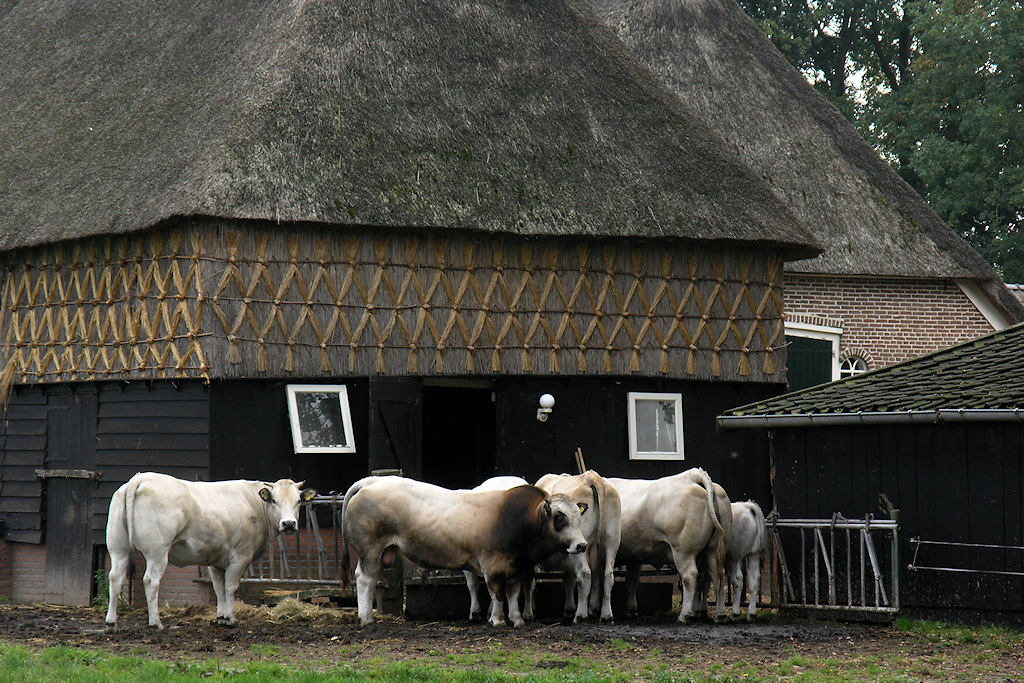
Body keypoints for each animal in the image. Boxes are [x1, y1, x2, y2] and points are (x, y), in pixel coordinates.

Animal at [104, 472, 316, 631]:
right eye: (274, 500)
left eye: (298, 501)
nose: (288, 524)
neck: (253, 504)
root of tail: (141, 478)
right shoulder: (240, 556)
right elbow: (230, 587)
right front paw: (230, 619)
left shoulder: (216, 560)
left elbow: (218, 588)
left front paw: (221, 617)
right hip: (158, 551)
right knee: (151, 581)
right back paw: (155, 623)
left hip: (118, 547)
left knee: (116, 578)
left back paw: (111, 622)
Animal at [340, 475, 588, 628]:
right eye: (560, 517)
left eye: (579, 517)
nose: (581, 545)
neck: (517, 519)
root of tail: (373, 481)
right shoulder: (493, 566)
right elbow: (497, 594)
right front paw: (497, 620)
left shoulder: (516, 568)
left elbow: (513, 594)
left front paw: (517, 620)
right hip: (370, 550)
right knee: (365, 579)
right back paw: (366, 617)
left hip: (382, 553)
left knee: (371, 580)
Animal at [528, 470, 622, 624]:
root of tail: (590, 476)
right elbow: (569, 580)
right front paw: (569, 609)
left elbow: (530, 581)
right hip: (612, 539)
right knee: (607, 575)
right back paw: (605, 615)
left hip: (580, 545)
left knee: (585, 575)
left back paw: (581, 615)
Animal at [607, 468, 732, 623]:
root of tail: (692, 475)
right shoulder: (634, 556)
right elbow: (632, 581)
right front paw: (631, 610)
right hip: (713, 550)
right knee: (717, 576)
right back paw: (719, 614)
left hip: (683, 551)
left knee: (690, 577)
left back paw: (684, 615)